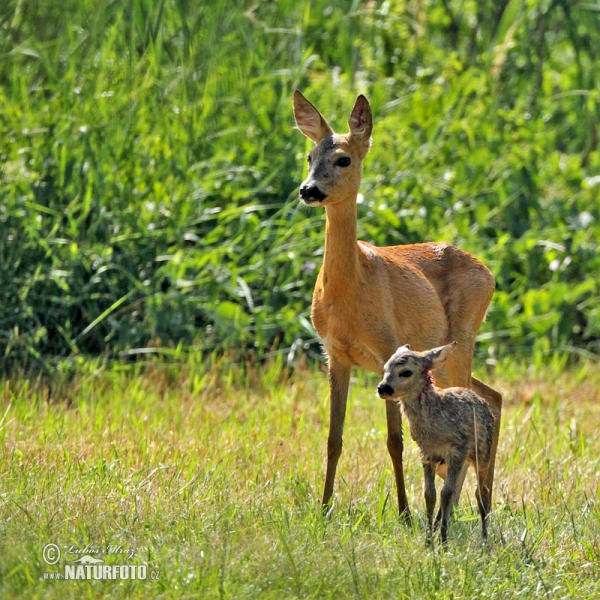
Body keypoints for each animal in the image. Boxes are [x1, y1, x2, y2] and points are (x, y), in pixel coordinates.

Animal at [292, 90, 502, 520]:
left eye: (343, 159)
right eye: (309, 156)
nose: (308, 190)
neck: (349, 290)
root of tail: (489, 273)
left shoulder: (388, 347)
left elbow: (394, 441)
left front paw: (404, 512)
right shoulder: (334, 354)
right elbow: (333, 438)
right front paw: (323, 508)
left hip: (463, 337)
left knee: (480, 402)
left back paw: (475, 502)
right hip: (446, 356)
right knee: (493, 395)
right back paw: (481, 498)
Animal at [378, 342, 494, 544]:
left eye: (406, 372)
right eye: (385, 369)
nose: (382, 388)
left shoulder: (458, 448)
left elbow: (446, 493)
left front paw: (444, 540)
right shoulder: (426, 452)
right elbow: (430, 494)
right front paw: (428, 541)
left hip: (483, 453)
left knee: (481, 491)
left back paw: (485, 540)